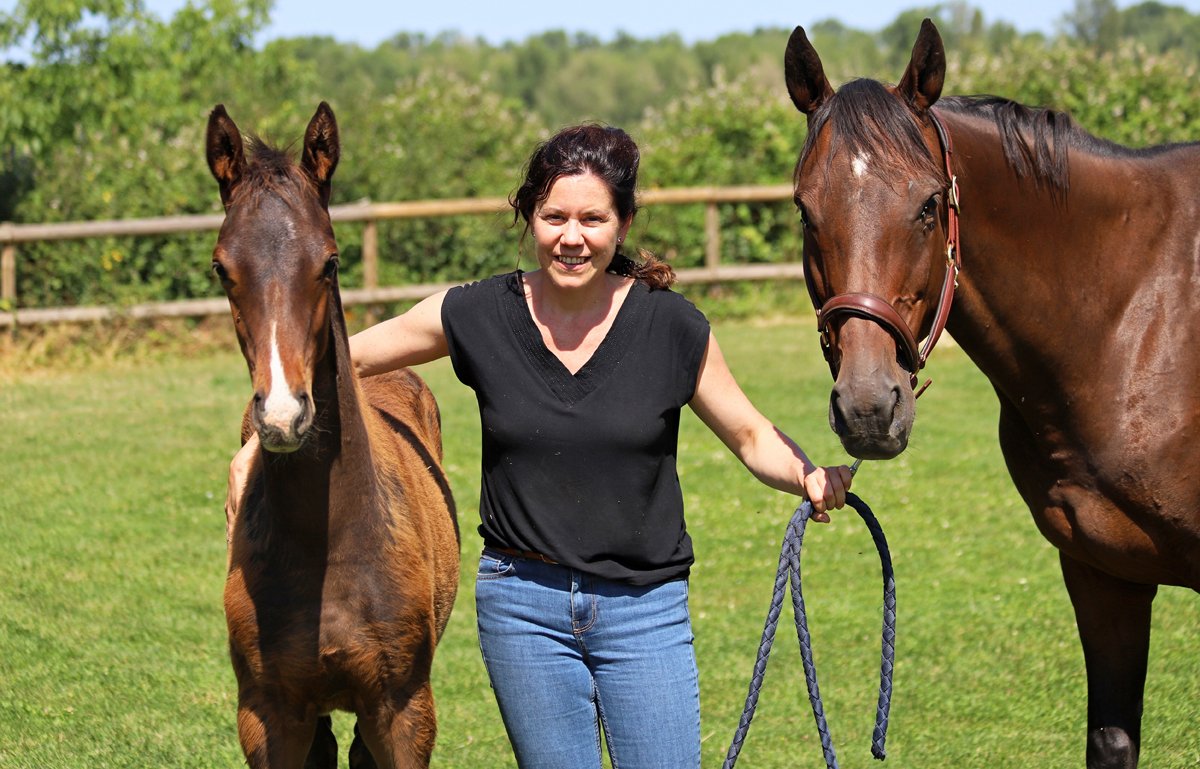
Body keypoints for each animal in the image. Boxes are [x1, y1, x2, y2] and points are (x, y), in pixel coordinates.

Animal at [205, 102, 460, 768]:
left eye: (330, 261)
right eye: (221, 267)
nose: (282, 415)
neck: (331, 543)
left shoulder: (404, 710)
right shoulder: (266, 715)